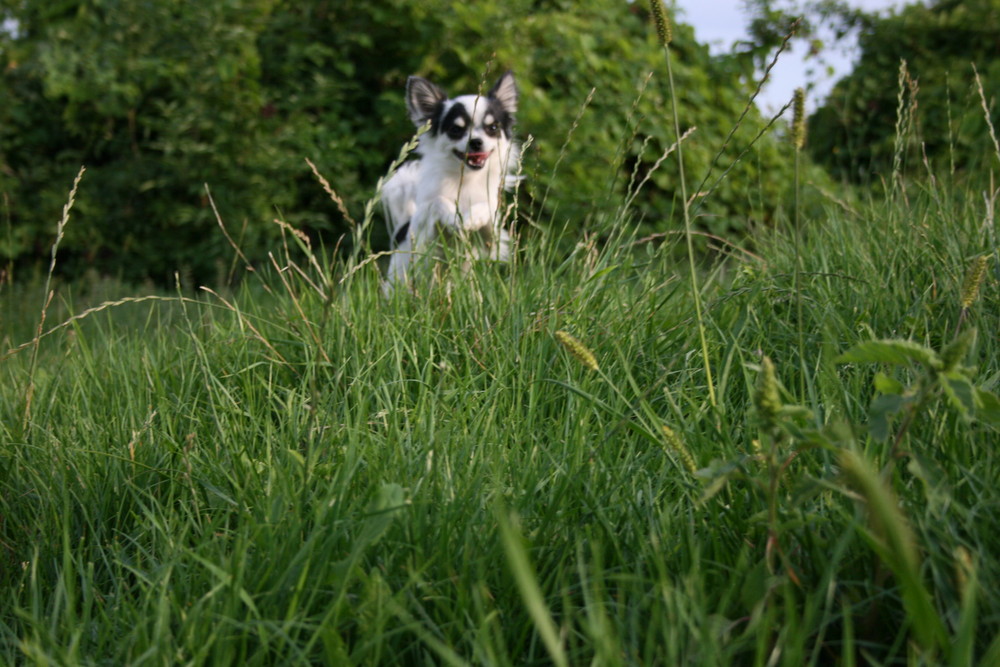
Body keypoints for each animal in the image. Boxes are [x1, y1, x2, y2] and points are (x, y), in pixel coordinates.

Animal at [382, 71, 524, 290]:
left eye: (492, 127)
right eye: (456, 130)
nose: (476, 141)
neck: (465, 179)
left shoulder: (491, 238)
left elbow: (485, 209)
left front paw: (472, 218)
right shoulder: (427, 233)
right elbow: (438, 202)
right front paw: (454, 218)